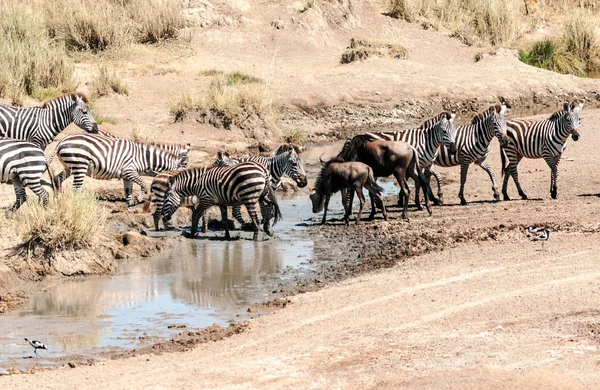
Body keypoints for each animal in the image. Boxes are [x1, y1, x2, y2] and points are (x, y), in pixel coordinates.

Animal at [50, 133, 189, 207]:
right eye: (185, 170)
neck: (144, 158)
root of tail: (62, 141)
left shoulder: (127, 175)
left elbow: (128, 190)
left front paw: (130, 203)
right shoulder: (129, 170)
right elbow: (143, 184)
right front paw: (139, 198)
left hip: (70, 167)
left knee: (58, 179)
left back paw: (58, 197)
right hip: (80, 165)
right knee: (75, 188)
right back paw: (79, 203)